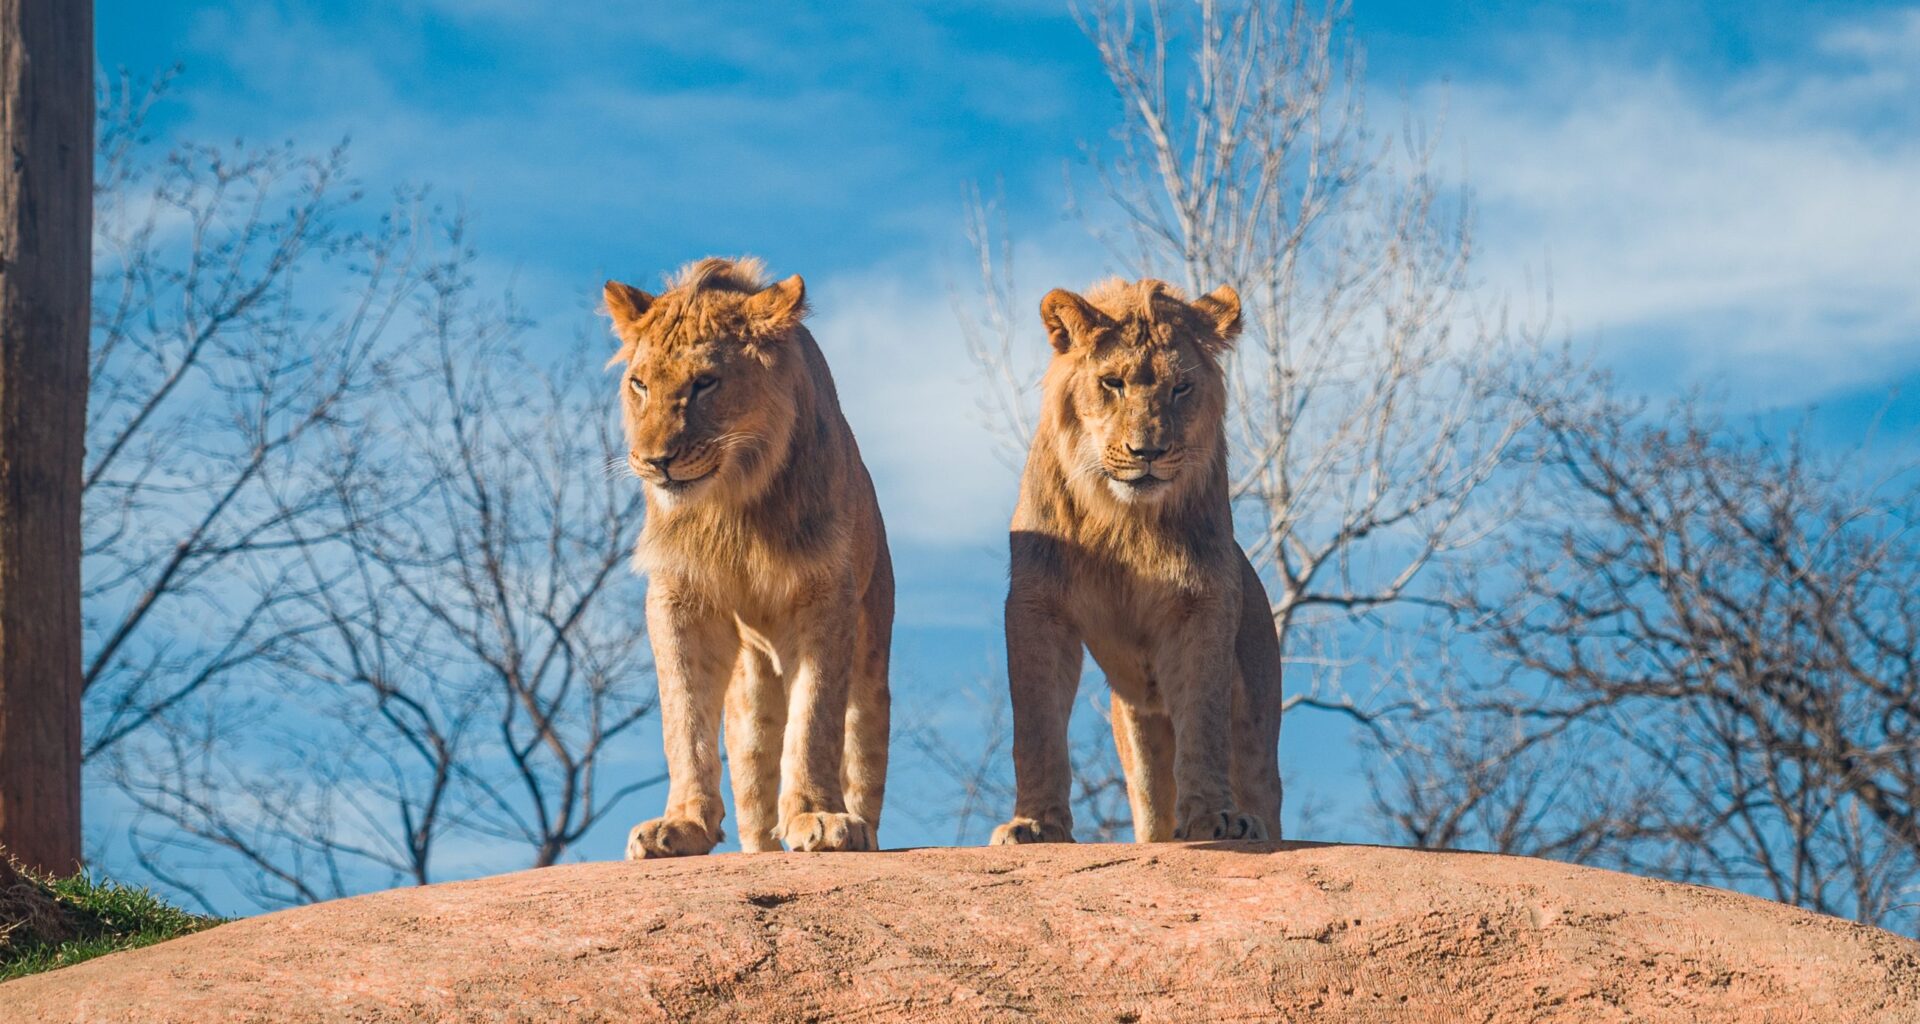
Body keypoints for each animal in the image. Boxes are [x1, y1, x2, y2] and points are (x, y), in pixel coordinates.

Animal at [604, 257, 892, 857]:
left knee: (860, 753)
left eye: (704, 383)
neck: (730, 504)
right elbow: (682, 716)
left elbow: (815, 719)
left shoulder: (826, 594)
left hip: (871, 665)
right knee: (754, 785)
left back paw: (862, 829)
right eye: (639, 384)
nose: (654, 461)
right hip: (751, 698)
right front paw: (681, 824)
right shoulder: (677, 596)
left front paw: (818, 816)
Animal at [990, 278, 1283, 846]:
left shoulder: (1204, 601)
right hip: (1136, 727)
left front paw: (1215, 818)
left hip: (1257, 715)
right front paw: (1034, 824)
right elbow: (1036, 724)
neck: (1123, 522)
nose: (1149, 451)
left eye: (1180, 389)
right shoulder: (1036, 604)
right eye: (1113, 383)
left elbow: (1204, 719)